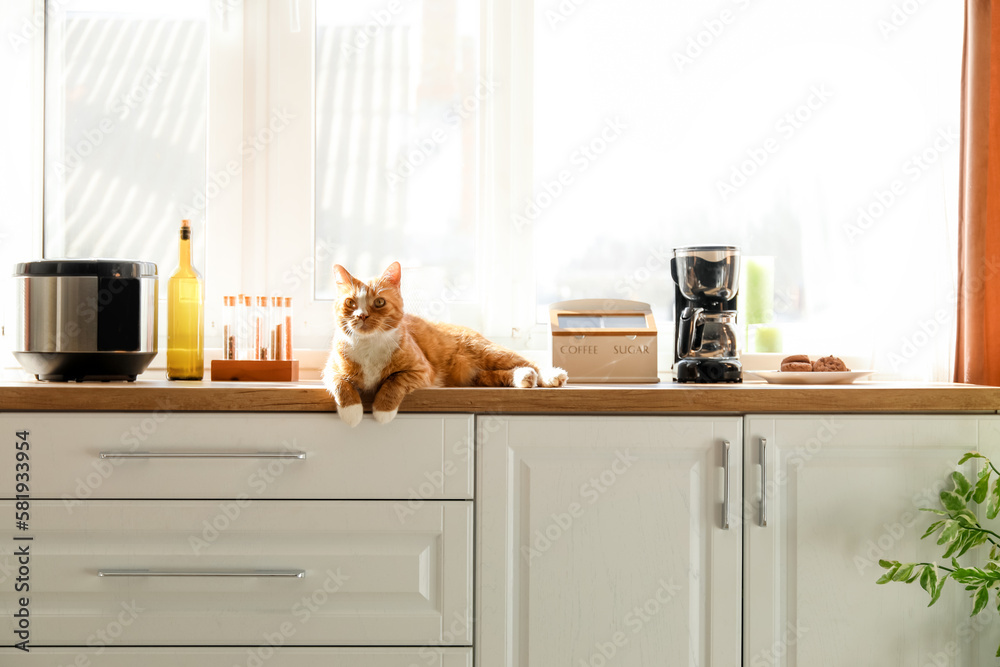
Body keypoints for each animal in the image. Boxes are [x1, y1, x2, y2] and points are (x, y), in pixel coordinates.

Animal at [322, 262, 568, 428]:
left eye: (379, 302)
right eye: (350, 302)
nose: (361, 315)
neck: (369, 345)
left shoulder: (421, 371)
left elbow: (393, 381)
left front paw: (382, 411)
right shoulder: (329, 371)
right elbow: (341, 384)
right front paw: (352, 412)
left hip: (489, 352)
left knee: (530, 362)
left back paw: (551, 376)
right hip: (476, 376)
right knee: (502, 374)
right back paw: (523, 377)